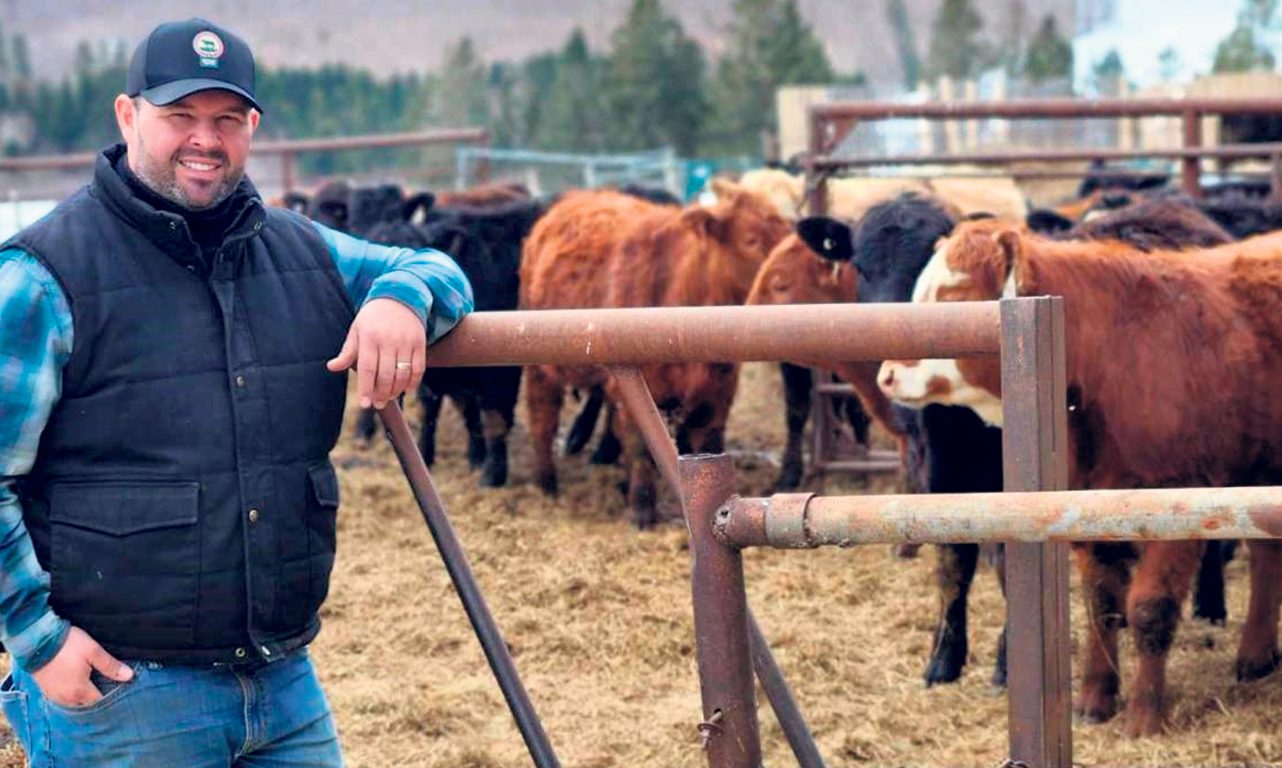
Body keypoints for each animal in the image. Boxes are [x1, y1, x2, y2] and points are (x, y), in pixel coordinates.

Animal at [520, 180, 789, 528]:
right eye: (751, 239)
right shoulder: (632, 388)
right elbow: (638, 447)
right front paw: (642, 509)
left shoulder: (717, 392)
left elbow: (707, 443)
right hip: (539, 364)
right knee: (543, 417)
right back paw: (546, 483)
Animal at [876, 219, 1282, 738]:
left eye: (955, 297)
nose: (887, 374)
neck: (1109, 359)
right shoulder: (1087, 510)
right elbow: (1102, 605)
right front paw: (1094, 698)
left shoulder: (1179, 504)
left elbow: (1150, 609)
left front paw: (1145, 714)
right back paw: (1255, 656)